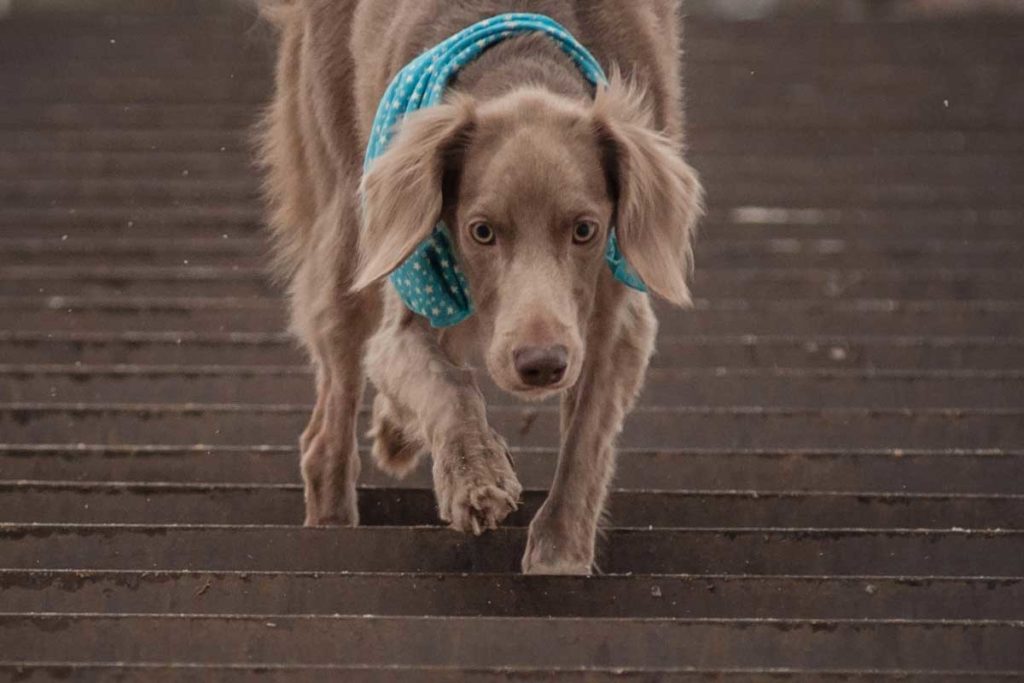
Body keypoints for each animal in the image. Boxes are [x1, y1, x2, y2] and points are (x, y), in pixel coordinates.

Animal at [258, 1, 704, 577]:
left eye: (585, 229)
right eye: (482, 231)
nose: (541, 365)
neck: (523, 56)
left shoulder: (616, 315)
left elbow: (586, 440)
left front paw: (558, 554)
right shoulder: (409, 302)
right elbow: (448, 386)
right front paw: (475, 479)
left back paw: (396, 432)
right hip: (350, 228)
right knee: (326, 426)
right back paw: (334, 517)